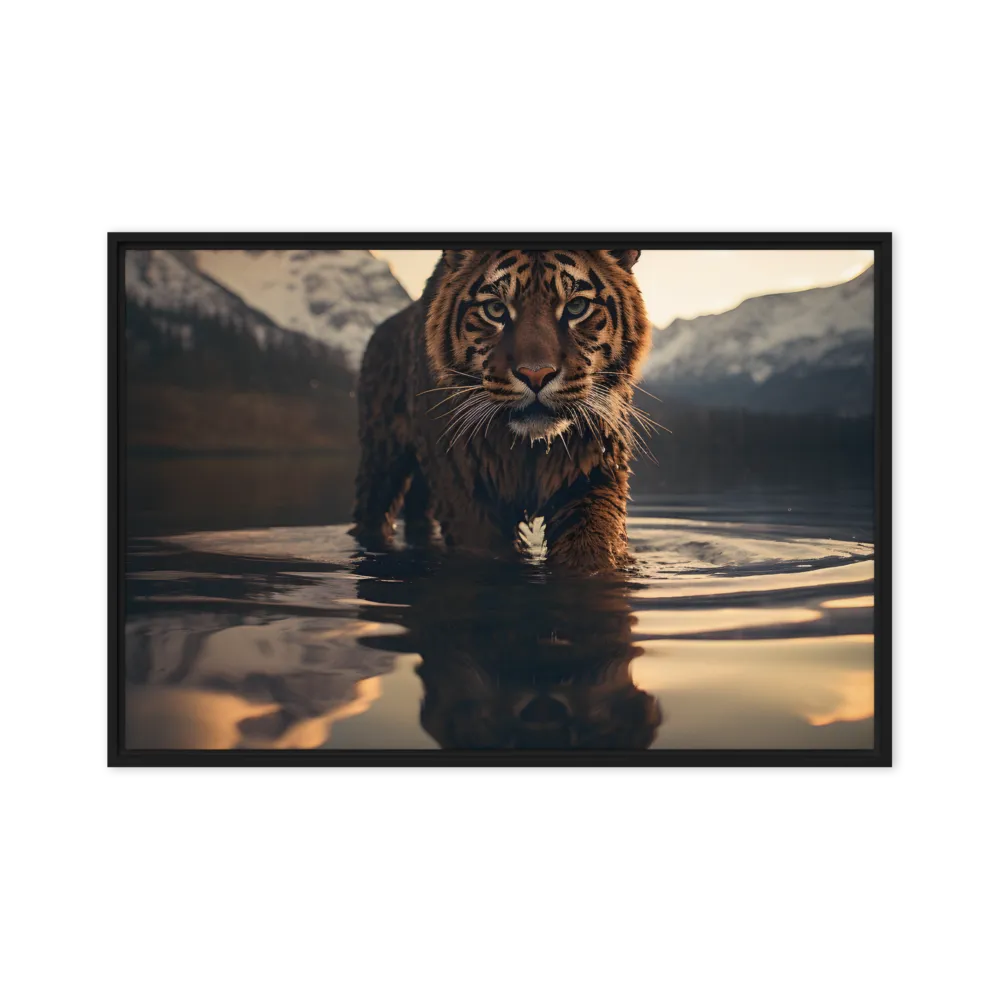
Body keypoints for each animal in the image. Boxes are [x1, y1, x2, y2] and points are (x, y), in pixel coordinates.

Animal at [351, 249, 653, 574]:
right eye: (496, 309)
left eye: (576, 307)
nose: (536, 375)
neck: (529, 448)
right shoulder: (465, 487)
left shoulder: (592, 472)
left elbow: (592, 549)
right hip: (381, 462)